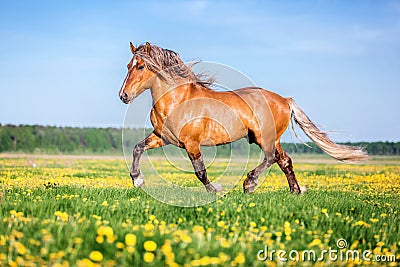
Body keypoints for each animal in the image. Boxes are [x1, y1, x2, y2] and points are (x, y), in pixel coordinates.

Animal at [119, 42, 368, 195]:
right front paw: (137, 180)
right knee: (284, 161)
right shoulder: (162, 137)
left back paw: (249, 183)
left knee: (270, 158)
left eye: (141, 66)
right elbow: (137, 148)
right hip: (273, 138)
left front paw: (216, 190)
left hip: (263, 137)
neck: (177, 100)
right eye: (128, 65)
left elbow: (200, 172)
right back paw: (295, 191)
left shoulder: (192, 144)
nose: (123, 95)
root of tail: (284, 100)